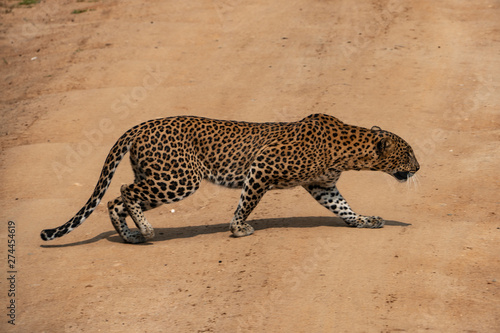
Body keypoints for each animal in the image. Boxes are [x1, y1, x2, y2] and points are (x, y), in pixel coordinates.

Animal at [41, 113, 420, 243]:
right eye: (409, 153)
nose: (418, 168)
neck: (349, 149)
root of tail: (140, 125)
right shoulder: (262, 167)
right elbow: (246, 203)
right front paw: (238, 229)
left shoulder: (321, 185)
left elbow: (343, 207)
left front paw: (364, 220)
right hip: (179, 178)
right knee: (121, 190)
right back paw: (145, 231)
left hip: (161, 178)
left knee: (116, 200)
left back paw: (132, 236)